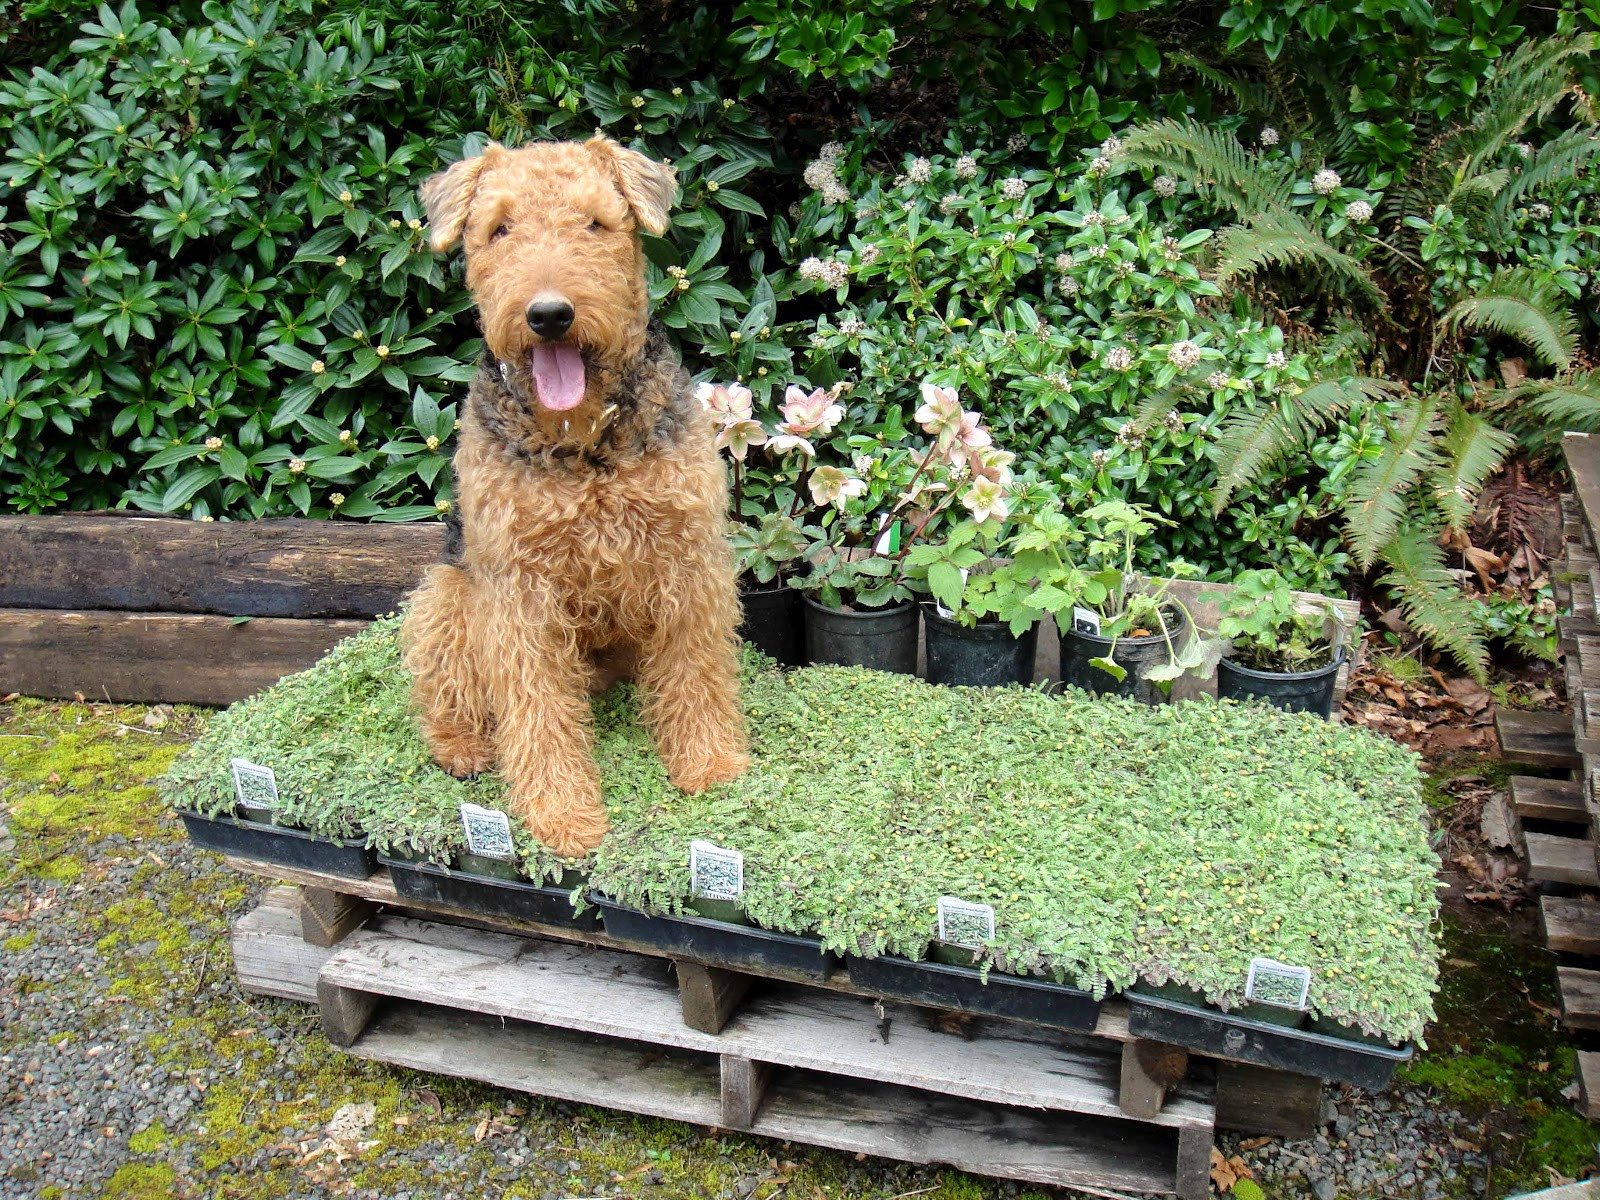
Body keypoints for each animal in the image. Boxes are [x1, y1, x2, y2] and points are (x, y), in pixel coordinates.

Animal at [400, 138, 748, 857]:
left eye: (594, 223)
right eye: (499, 228)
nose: (549, 314)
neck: (584, 440)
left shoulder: (689, 562)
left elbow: (696, 672)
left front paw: (707, 763)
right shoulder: (519, 592)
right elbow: (536, 707)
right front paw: (562, 815)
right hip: (448, 596)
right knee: (449, 694)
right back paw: (462, 748)